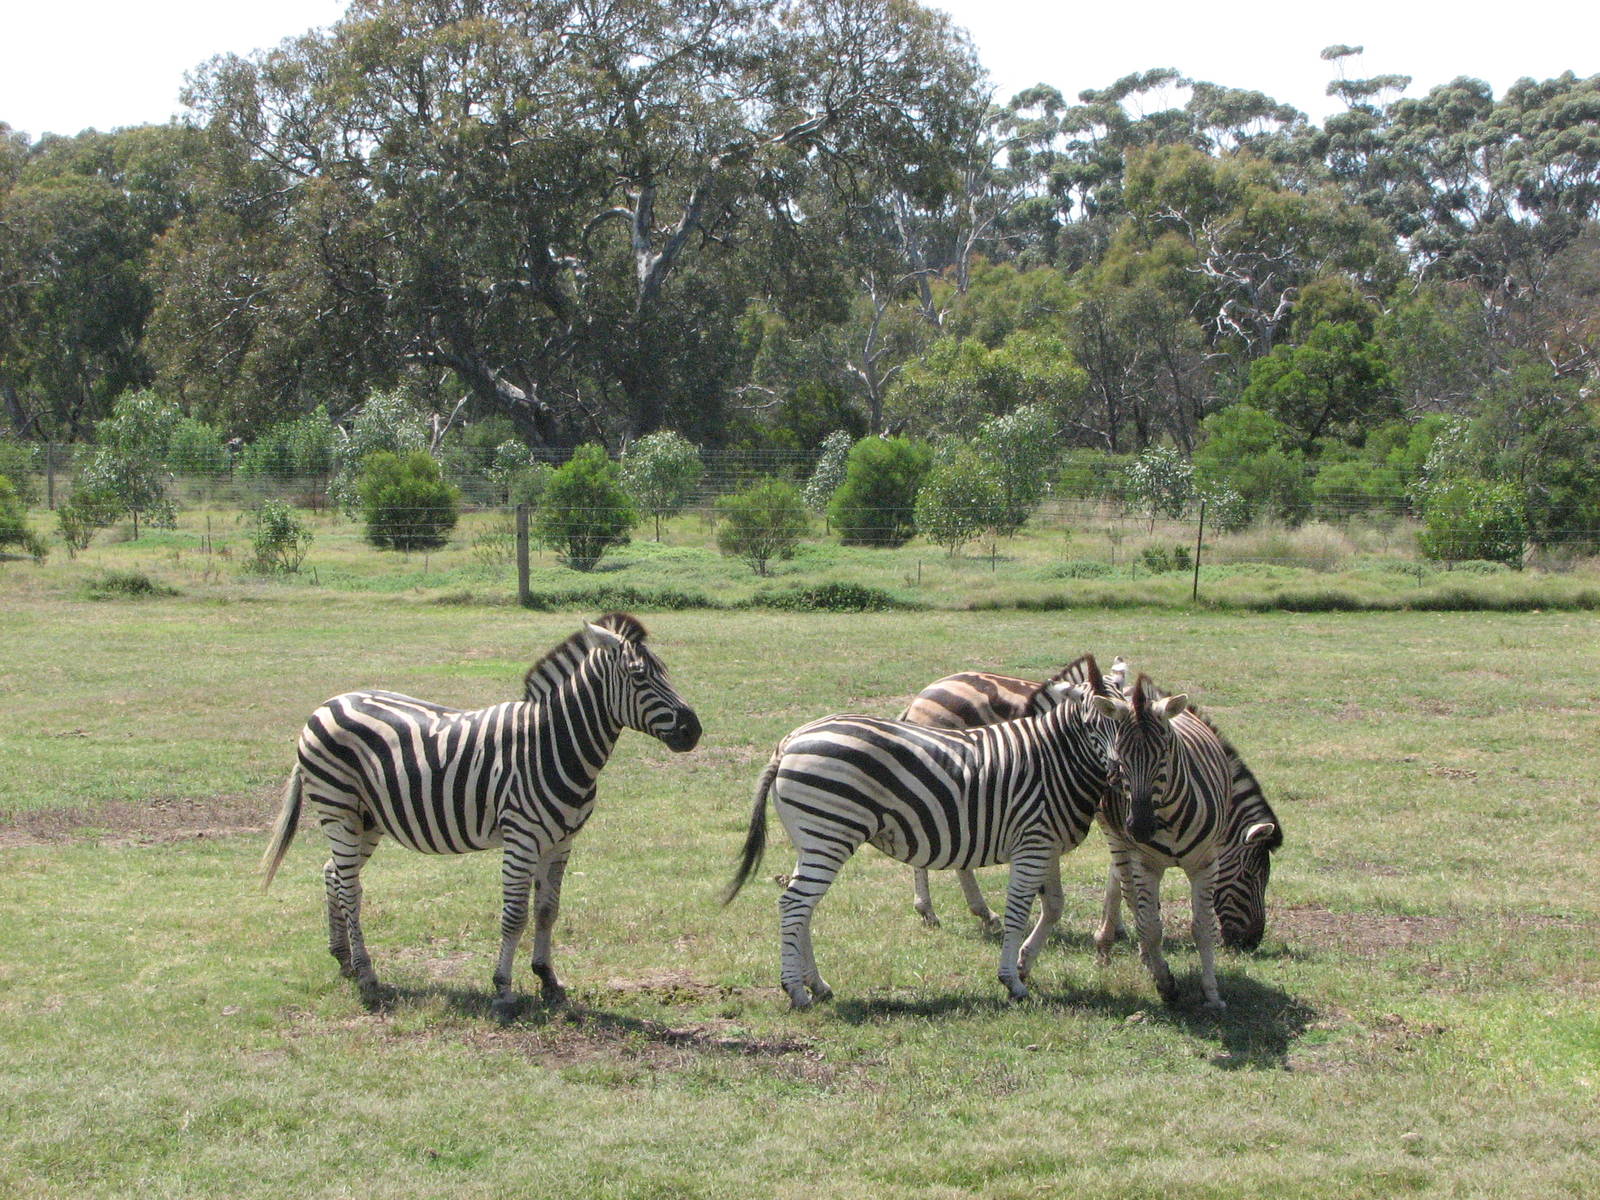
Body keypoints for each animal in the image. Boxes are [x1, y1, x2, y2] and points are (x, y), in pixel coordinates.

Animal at [259, 612, 701, 1006]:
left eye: (664, 671)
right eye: (640, 676)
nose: (693, 730)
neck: (553, 744)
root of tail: (325, 704)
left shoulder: (561, 841)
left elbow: (547, 910)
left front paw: (548, 980)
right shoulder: (521, 838)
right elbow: (514, 915)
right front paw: (503, 989)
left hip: (367, 818)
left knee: (333, 873)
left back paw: (344, 961)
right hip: (340, 809)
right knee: (350, 886)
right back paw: (367, 975)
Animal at [723, 657, 1114, 1008]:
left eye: (1125, 718)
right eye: (1092, 723)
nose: (1116, 772)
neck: (1052, 758)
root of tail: (787, 743)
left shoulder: (1047, 843)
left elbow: (1054, 905)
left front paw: (1025, 962)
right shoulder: (1032, 841)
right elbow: (1021, 909)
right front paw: (1014, 980)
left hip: (813, 839)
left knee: (802, 905)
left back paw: (817, 985)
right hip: (829, 834)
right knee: (795, 903)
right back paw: (796, 991)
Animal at [899, 663, 1280, 953]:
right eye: (1251, 876)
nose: (1251, 942)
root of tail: (924, 693)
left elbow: (1115, 872)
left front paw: (1118, 926)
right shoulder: (1112, 815)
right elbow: (1120, 873)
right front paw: (1122, 925)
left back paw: (974, 912)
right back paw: (935, 911)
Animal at [1089, 675, 1281, 1010]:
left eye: (1166, 753)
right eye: (1250, 875)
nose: (1253, 941)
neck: (1168, 814)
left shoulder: (1205, 865)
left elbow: (1203, 928)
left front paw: (1213, 995)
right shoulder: (1145, 862)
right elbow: (1151, 925)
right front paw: (1164, 982)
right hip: (1112, 830)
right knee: (1126, 886)